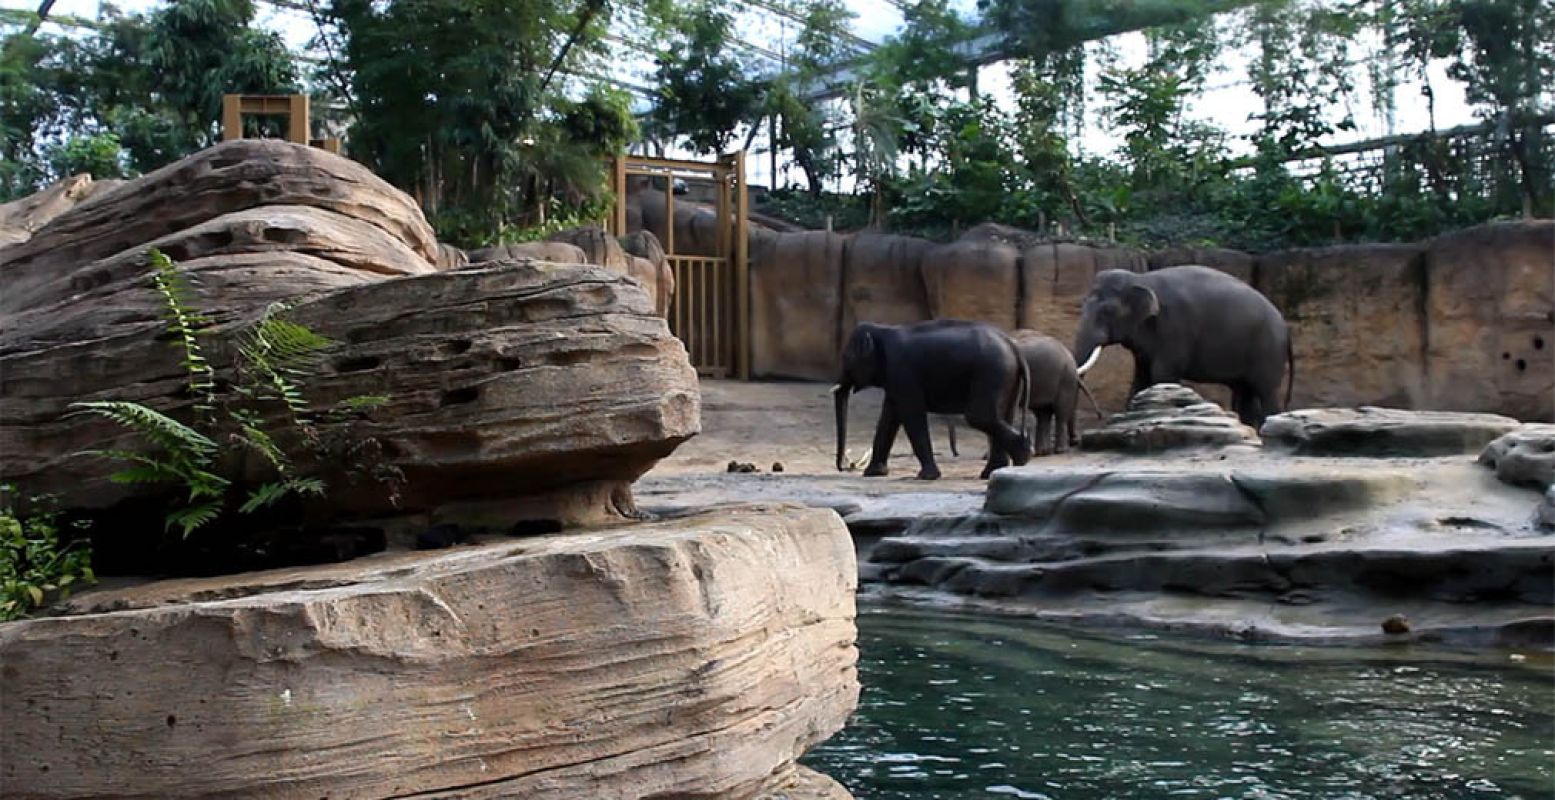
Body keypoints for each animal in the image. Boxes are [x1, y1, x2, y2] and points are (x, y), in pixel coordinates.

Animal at [833, 319, 1038, 479]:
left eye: (845, 357)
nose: (844, 467)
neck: (882, 329)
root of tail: (1014, 348)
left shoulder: (902, 370)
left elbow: (911, 414)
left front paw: (926, 476)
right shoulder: (895, 378)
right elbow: (889, 418)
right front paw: (873, 473)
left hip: (993, 372)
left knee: (979, 416)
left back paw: (1022, 455)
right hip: (1007, 376)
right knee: (1003, 415)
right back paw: (993, 472)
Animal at [939, 326, 1100, 454]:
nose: (956, 453)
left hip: (1065, 379)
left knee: (1059, 412)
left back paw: (1058, 451)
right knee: (1043, 414)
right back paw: (1042, 452)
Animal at [1076, 263, 1293, 426]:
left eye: (1107, 311)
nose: (1099, 415)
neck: (1142, 278)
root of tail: (1285, 326)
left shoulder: (1175, 327)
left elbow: (1162, 374)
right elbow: (1141, 378)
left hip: (1268, 350)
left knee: (1266, 391)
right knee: (1244, 393)